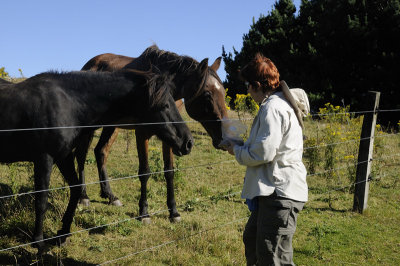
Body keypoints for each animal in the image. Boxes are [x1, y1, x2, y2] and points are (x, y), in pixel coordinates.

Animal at [0, 69, 192, 252]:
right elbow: (41, 200)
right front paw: (38, 243)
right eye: (165, 105)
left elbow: (76, 190)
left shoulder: (64, 157)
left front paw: (63, 233)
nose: (188, 142)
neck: (68, 105)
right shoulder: (44, 158)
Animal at [77, 44, 228, 223]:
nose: (224, 138)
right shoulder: (142, 133)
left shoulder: (172, 137)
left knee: (100, 152)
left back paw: (110, 196)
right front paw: (144, 212)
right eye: (207, 95)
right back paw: (83, 196)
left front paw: (174, 212)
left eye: (224, 92)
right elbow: (145, 172)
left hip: (112, 126)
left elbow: (169, 171)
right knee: (81, 156)